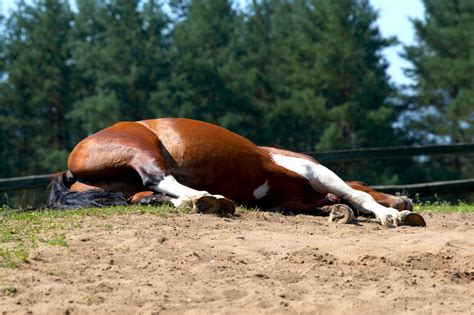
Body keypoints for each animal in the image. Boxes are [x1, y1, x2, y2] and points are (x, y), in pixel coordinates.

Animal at [48, 117, 426, 228]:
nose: (406, 200)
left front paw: (338, 212)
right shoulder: (312, 169)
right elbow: (357, 193)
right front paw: (391, 214)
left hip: (128, 188)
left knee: (152, 196)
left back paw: (203, 202)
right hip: (140, 148)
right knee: (158, 178)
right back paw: (207, 197)